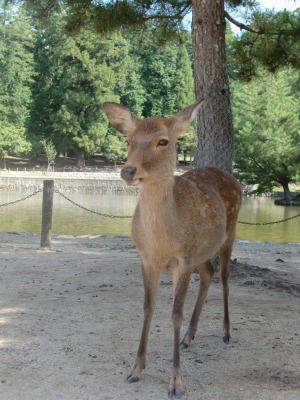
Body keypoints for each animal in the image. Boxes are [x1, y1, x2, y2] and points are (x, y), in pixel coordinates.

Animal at [103, 98, 241, 398]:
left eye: (163, 141)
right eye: (129, 140)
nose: (127, 170)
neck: (161, 242)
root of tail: (235, 180)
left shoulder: (182, 259)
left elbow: (175, 314)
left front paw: (176, 383)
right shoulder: (146, 258)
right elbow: (147, 307)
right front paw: (135, 369)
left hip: (230, 233)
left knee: (225, 277)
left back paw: (226, 332)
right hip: (201, 251)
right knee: (209, 273)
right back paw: (188, 338)